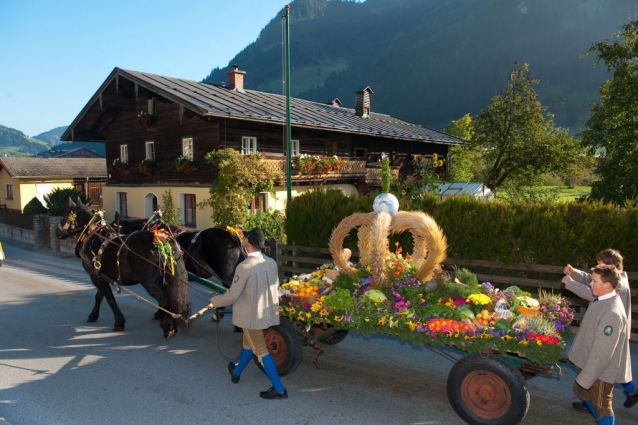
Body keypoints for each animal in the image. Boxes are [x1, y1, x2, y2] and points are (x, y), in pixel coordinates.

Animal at [57, 198, 190, 338]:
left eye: (67, 214)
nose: (57, 231)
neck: (94, 236)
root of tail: (161, 242)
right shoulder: (102, 275)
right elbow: (100, 295)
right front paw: (93, 315)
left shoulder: (95, 276)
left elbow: (109, 298)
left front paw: (119, 322)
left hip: (150, 283)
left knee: (164, 300)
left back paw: (168, 328)